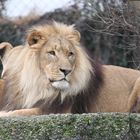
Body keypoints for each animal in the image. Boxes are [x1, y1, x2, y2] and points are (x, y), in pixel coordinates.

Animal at [0, 21, 139, 116]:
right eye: (52, 53)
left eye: (70, 54)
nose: (66, 71)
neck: (39, 85)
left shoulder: (56, 110)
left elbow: (19, 112)